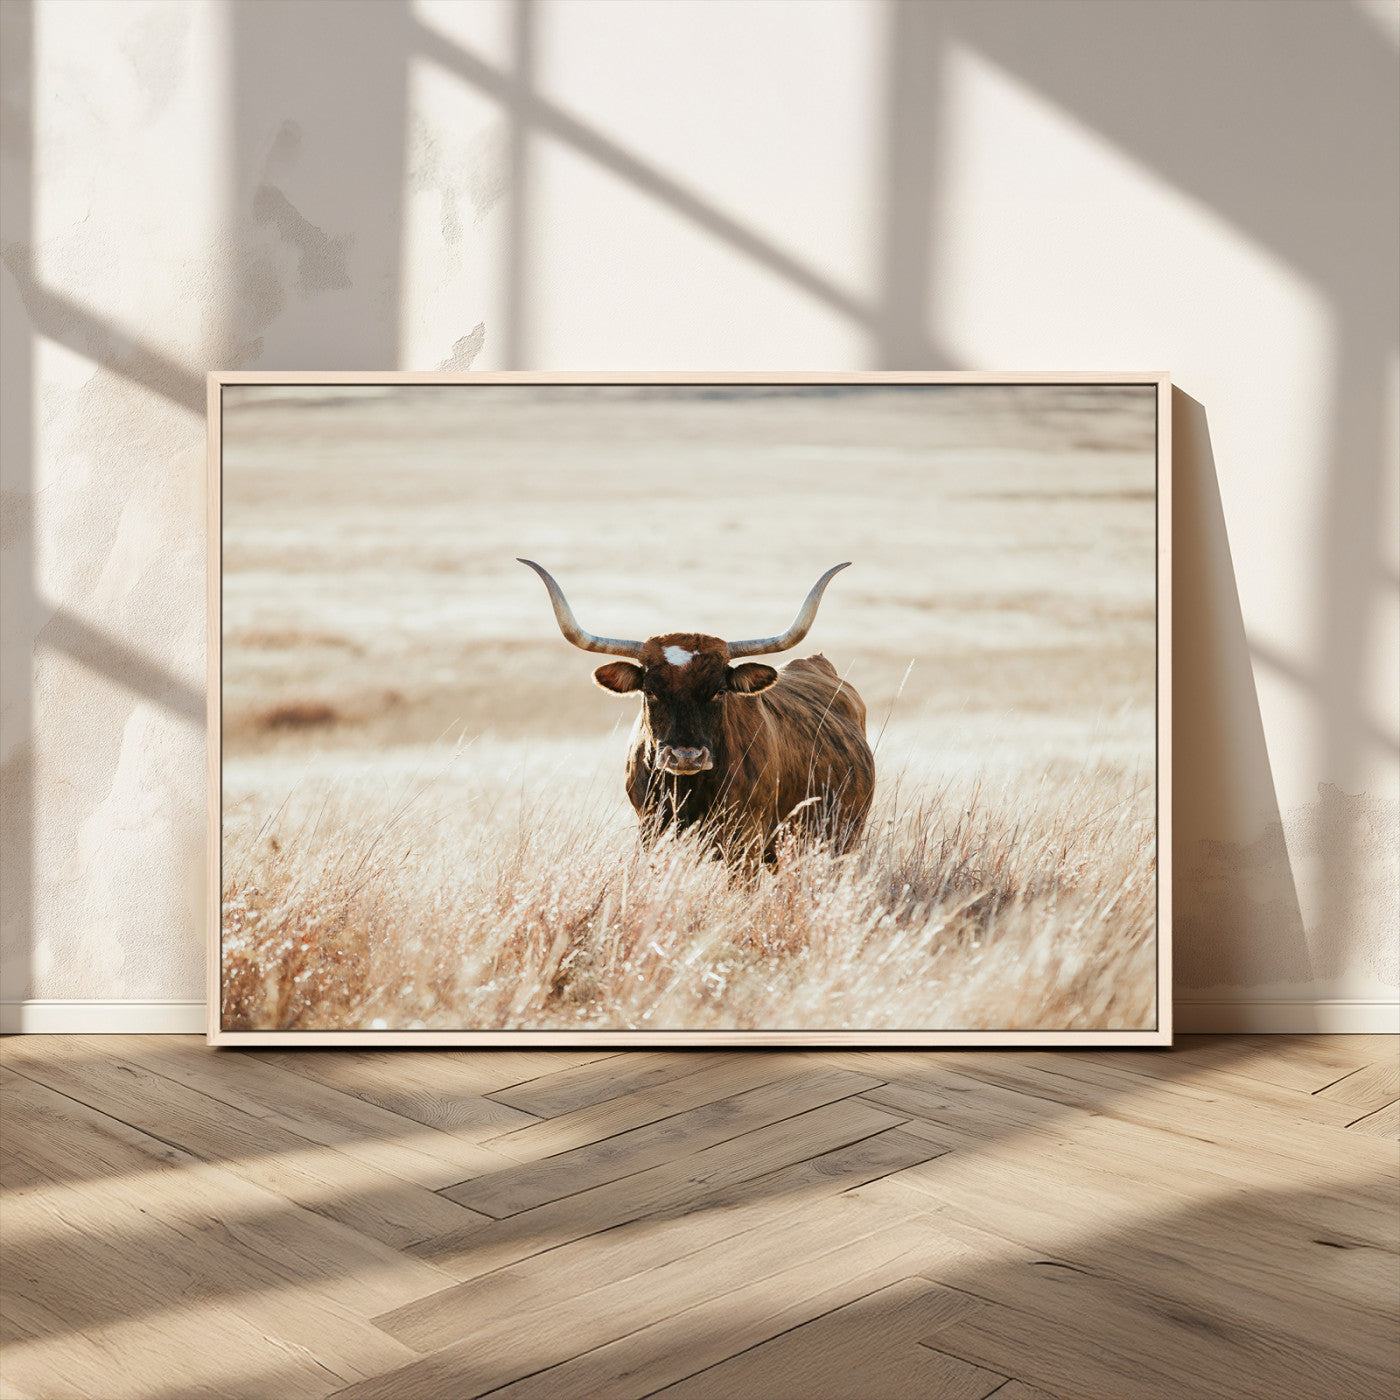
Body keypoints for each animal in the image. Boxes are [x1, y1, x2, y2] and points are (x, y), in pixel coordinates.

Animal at [519, 559, 875, 865]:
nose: (686, 757)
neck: (688, 789)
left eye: (719, 690)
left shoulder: (746, 843)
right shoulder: (652, 834)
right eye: (651, 690)